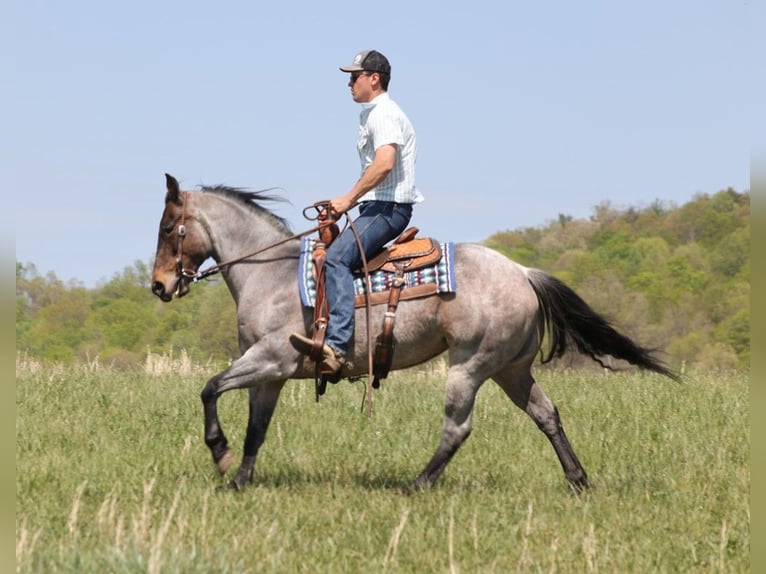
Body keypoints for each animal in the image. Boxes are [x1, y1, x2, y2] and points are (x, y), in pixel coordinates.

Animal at [150, 173, 680, 492]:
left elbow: (209, 388)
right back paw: (578, 479)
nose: (158, 285)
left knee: (458, 426)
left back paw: (418, 483)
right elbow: (256, 428)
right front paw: (239, 479)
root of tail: (524, 273)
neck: (272, 275)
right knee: (546, 414)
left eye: (170, 227)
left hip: (469, 365)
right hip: (511, 369)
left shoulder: (270, 359)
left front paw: (219, 453)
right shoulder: (271, 375)